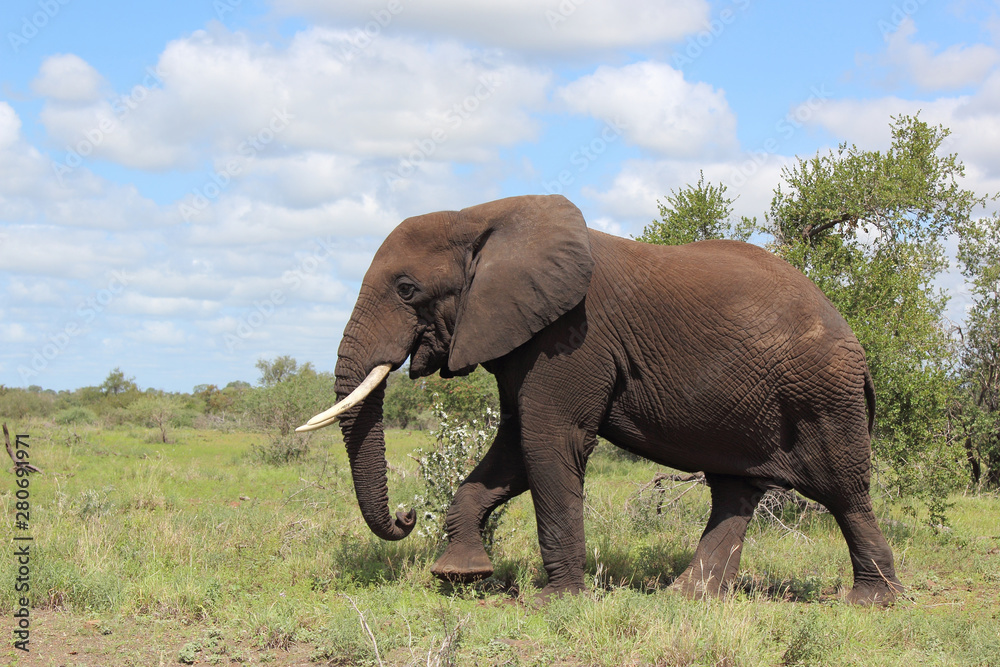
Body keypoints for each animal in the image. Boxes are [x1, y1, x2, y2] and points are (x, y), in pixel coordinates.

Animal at [298, 194, 903, 605]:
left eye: (406, 290)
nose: (406, 515)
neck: (481, 216)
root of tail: (853, 336)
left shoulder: (572, 338)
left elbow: (548, 441)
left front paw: (554, 603)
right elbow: (513, 448)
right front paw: (460, 575)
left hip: (824, 395)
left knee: (844, 492)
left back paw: (871, 602)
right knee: (735, 490)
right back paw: (686, 599)